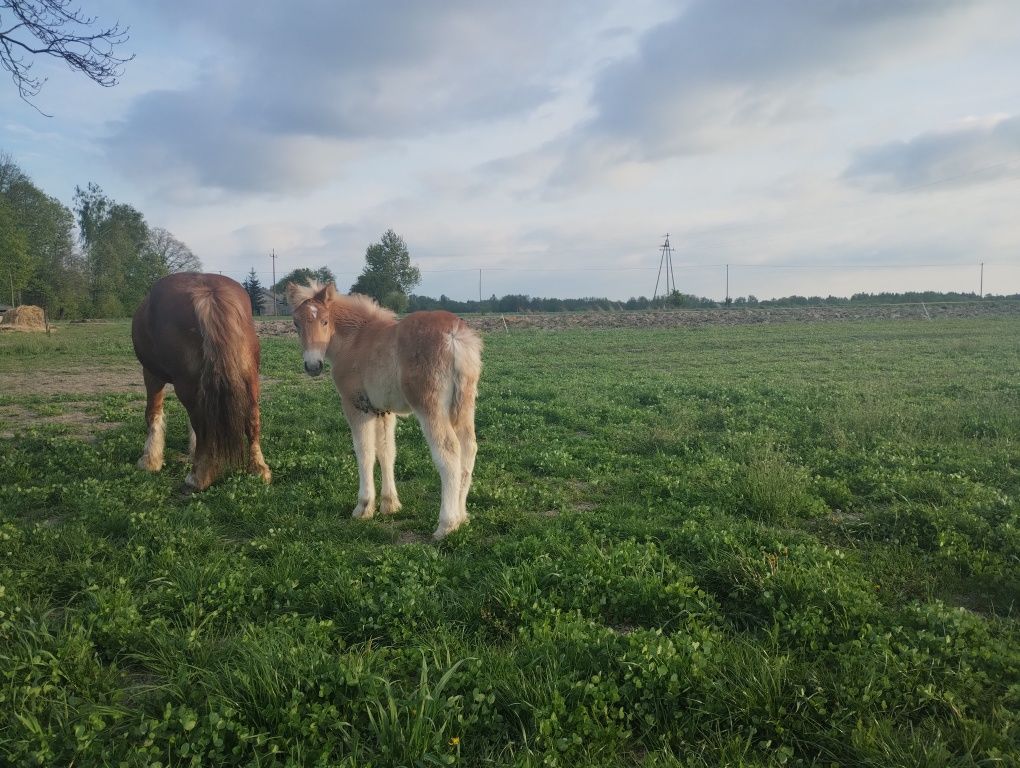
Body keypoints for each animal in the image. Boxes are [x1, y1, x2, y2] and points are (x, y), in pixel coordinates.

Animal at [131, 273, 271, 487]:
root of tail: (207, 293)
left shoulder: (151, 374)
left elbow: (153, 413)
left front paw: (149, 460)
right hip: (250, 378)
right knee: (252, 418)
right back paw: (259, 470)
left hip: (186, 384)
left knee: (201, 422)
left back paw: (198, 477)